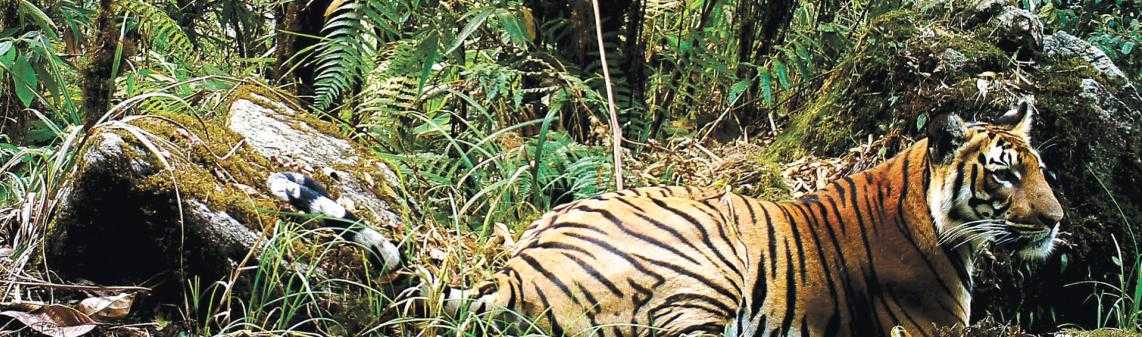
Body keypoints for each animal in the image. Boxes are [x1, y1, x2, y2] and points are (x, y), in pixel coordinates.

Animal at [264, 98, 1059, 337]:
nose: (1056, 220)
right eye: (1003, 172)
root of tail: (518, 272)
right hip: (709, 272)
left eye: (1044, 169)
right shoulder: (931, 328)